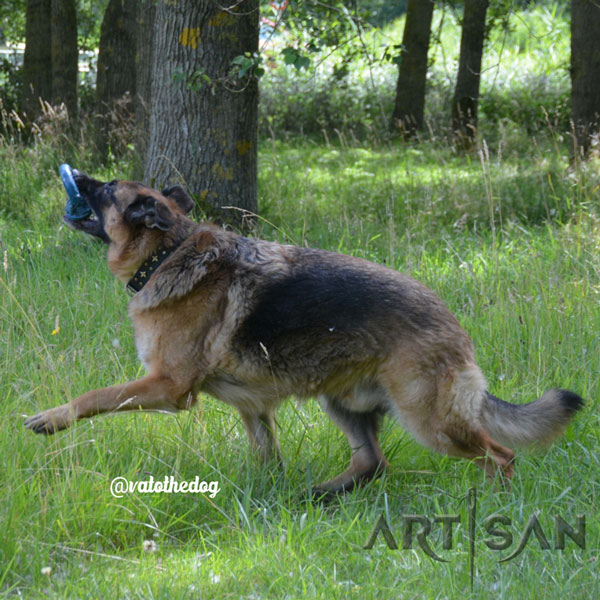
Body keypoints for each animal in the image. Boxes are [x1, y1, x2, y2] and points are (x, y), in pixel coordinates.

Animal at [24, 171, 580, 494]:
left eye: (102, 189)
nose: (76, 171)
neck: (167, 253)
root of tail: (455, 328)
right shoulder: (252, 409)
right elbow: (265, 457)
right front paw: (263, 496)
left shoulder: (167, 386)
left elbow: (96, 395)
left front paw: (53, 418)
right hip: (342, 403)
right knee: (372, 463)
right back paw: (317, 495)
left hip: (430, 422)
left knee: (501, 455)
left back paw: (493, 504)